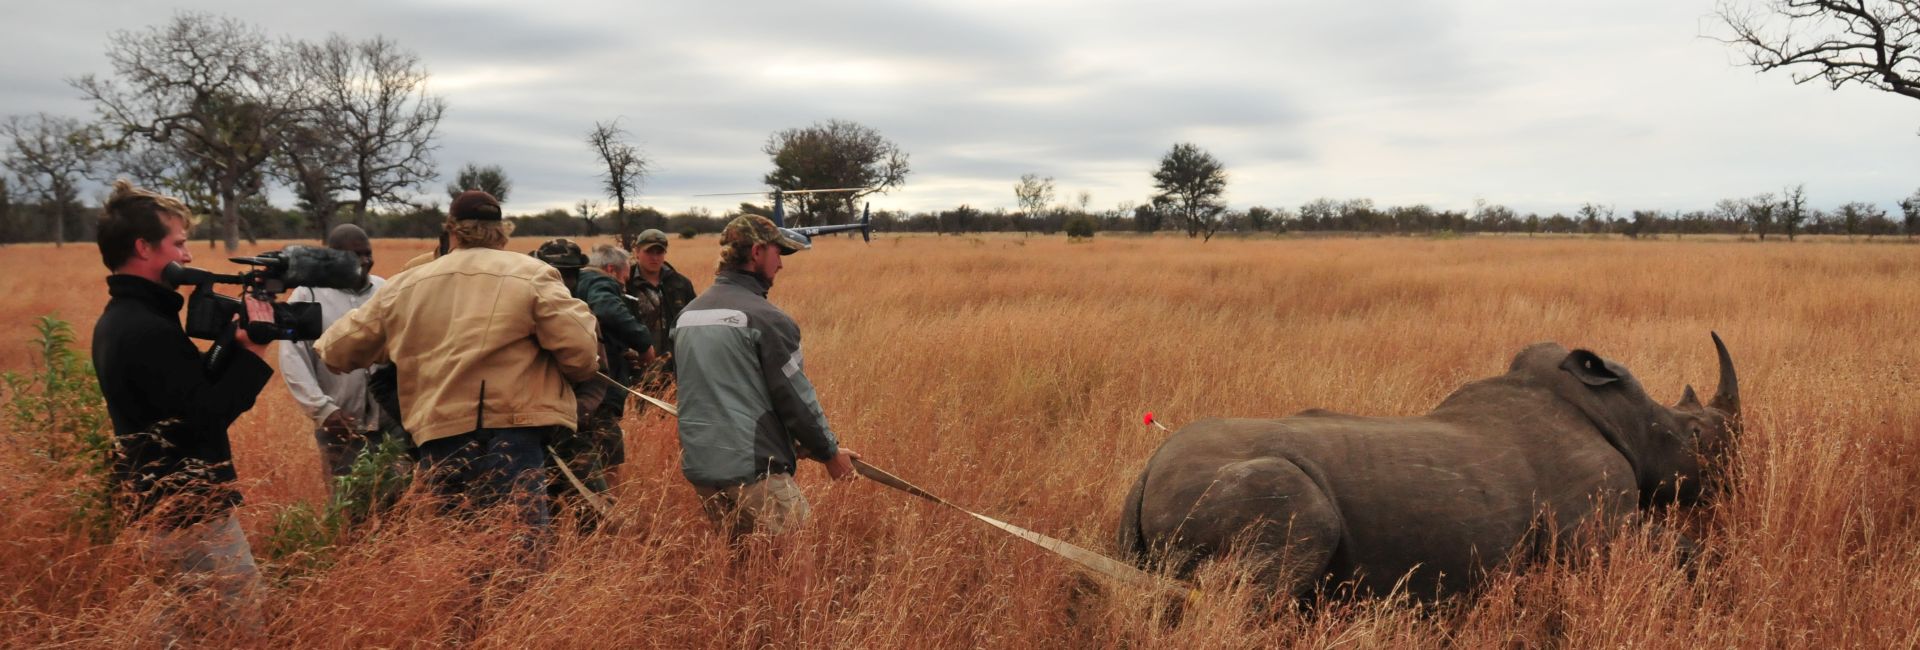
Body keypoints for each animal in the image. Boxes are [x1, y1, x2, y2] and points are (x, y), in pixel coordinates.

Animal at [1117, 334, 1740, 599]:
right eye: (1697, 436)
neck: (1627, 419)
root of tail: (1145, 474)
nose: (1732, 484)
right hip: (1251, 488)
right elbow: (1687, 551)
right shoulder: (1599, 527)